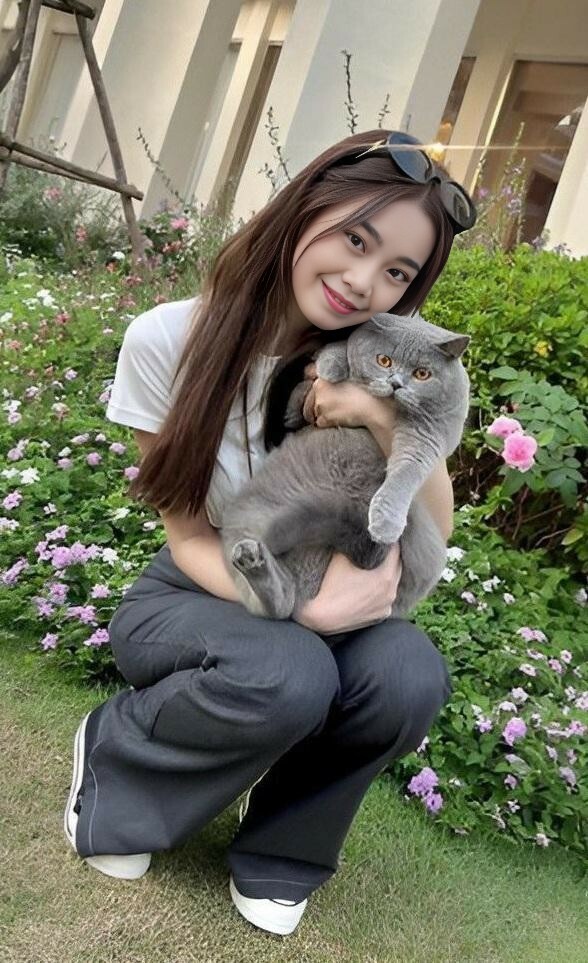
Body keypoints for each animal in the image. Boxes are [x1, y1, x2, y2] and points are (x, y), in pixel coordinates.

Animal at [219, 311, 471, 625]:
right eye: (384, 360)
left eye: (422, 374)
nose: (396, 384)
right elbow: (334, 353)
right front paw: (329, 369)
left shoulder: (429, 435)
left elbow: (406, 472)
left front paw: (385, 523)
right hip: (245, 518)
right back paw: (252, 559)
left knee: (283, 604)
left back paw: (256, 563)